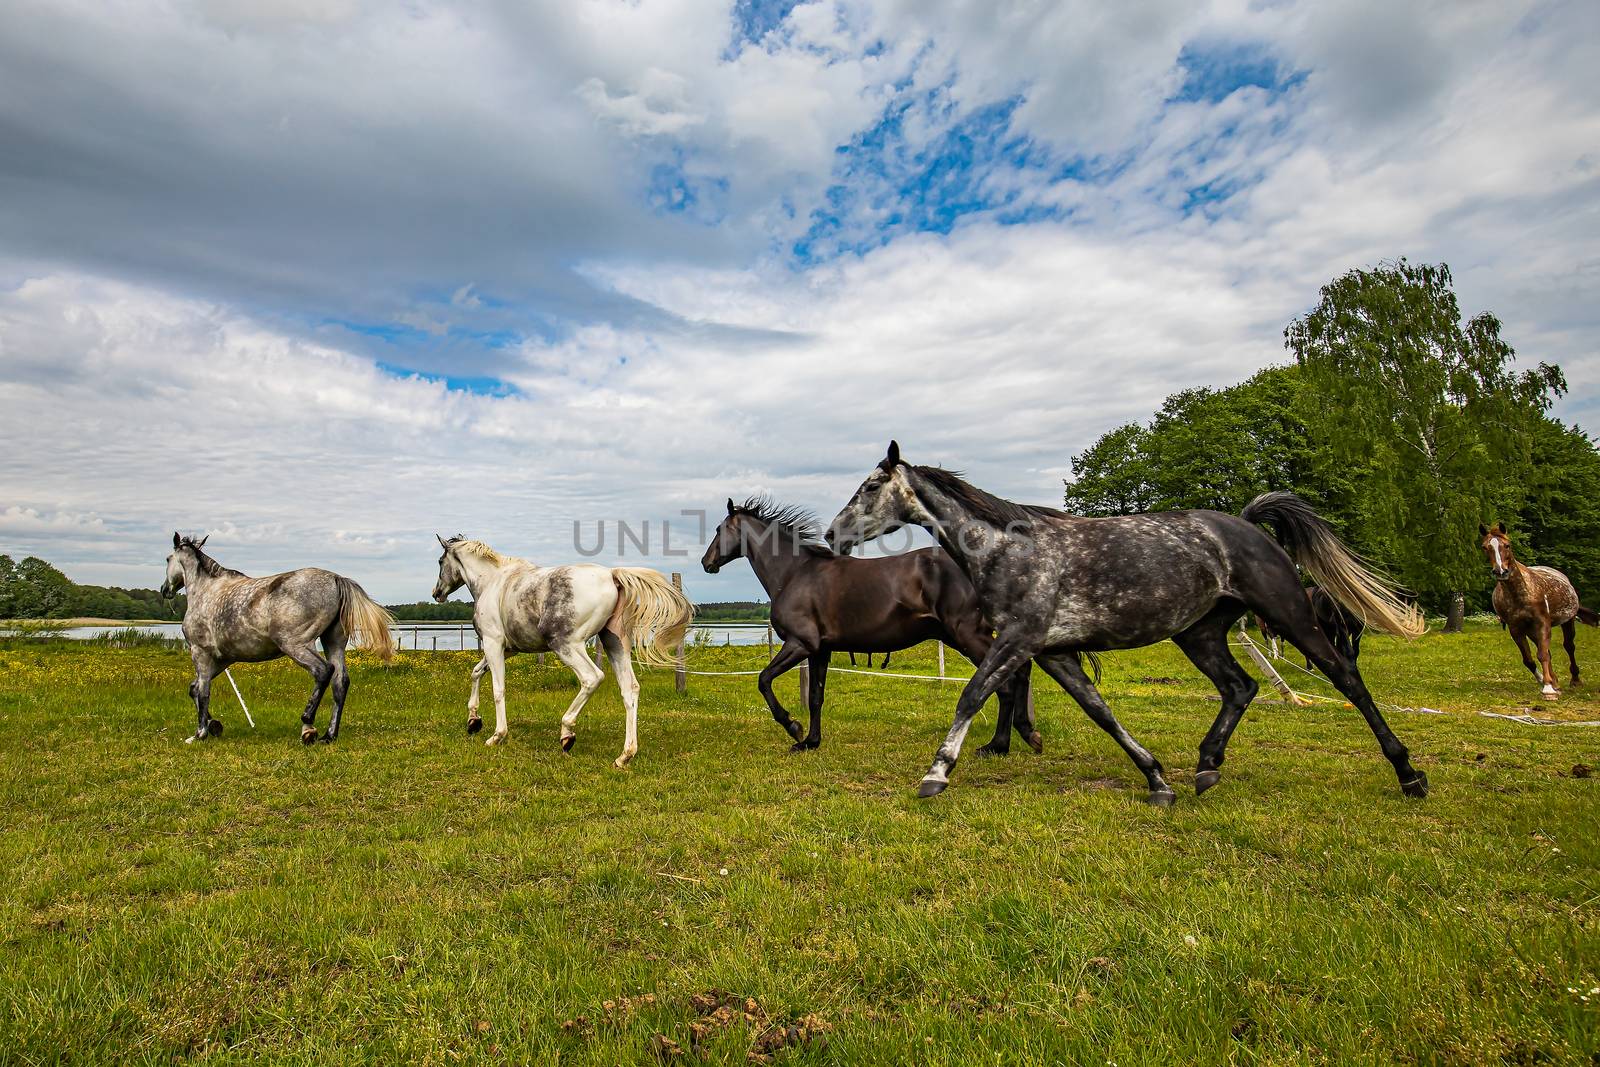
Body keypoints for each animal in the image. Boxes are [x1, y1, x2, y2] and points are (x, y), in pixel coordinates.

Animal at [161, 534, 396, 742]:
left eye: (167, 559)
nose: (165, 589)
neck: (206, 592)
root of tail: (336, 579)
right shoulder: (223, 658)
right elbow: (195, 688)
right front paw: (214, 725)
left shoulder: (200, 652)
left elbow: (203, 691)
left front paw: (200, 733)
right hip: (333, 643)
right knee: (340, 682)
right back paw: (329, 735)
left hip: (295, 644)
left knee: (323, 671)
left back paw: (307, 725)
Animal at [432, 537, 694, 764]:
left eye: (440, 561)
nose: (437, 594)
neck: (492, 582)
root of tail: (611, 575)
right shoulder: (507, 649)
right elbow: (476, 672)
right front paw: (473, 721)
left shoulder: (493, 643)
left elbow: (498, 688)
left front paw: (497, 736)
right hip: (614, 643)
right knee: (630, 689)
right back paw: (624, 756)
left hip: (566, 645)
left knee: (592, 678)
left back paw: (567, 733)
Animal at [700, 502, 1036, 758]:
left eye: (718, 530)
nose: (706, 562)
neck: (795, 573)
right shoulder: (820, 651)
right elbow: (815, 697)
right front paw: (810, 742)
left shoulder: (800, 644)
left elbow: (764, 680)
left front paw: (793, 728)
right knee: (1021, 670)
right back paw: (1027, 734)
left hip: (967, 635)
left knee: (1006, 682)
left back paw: (997, 746)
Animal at [825, 447, 1427, 806]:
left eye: (872, 485)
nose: (833, 535)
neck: (1008, 550)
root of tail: (1246, 525)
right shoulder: (1053, 652)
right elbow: (1100, 711)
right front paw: (1157, 779)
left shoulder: (1019, 640)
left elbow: (971, 695)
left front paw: (936, 773)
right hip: (1199, 633)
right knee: (1241, 687)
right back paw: (1206, 766)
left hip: (1289, 613)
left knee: (1345, 677)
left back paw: (1409, 774)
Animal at [1478, 524, 1593, 700]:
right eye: (1485, 547)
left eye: (1507, 545)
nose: (1501, 572)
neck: (1520, 593)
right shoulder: (1516, 629)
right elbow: (1529, 659)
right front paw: (1547, 683)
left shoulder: (1542, 622)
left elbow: (1543, 654)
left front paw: (1548, 689)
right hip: (1531, 630)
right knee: (1546, 650)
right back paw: (1555, 682)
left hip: (1568, 621)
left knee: (1569, 646)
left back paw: (1575, 680)